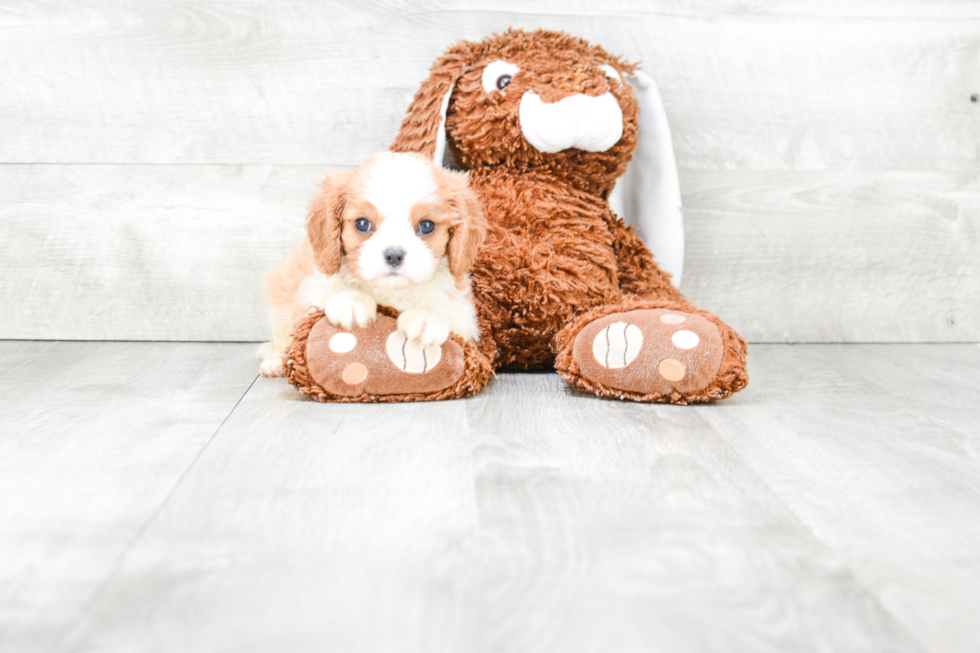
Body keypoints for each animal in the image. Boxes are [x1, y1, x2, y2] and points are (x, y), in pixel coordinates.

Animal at [260, 152, 486, 376]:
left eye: (427, 226)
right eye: (362, 224)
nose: (394, 255)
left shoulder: (465, 318)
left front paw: (426, 318)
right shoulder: (312, 285)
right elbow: (330, 287)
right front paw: (350, 301)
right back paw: (275, 362)